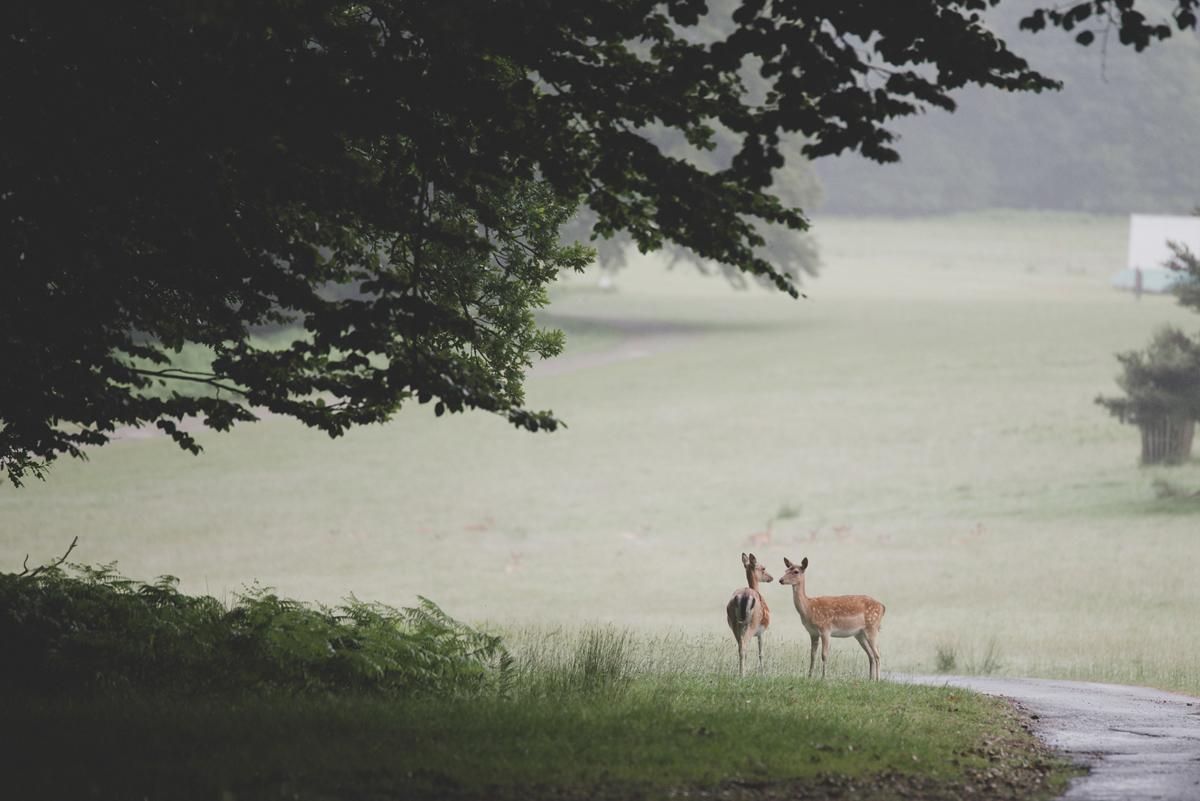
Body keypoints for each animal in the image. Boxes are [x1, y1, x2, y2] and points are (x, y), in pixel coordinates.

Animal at [724, 553, 772, 681]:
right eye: (763, 568)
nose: (771, 577)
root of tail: (745, 594)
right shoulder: (762, 631)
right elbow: (761, 653)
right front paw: (763, 674)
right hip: (753, 623)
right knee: (744, 645)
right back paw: (743, 674)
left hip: (734, 623)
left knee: (741, 646)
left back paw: (740, 672)